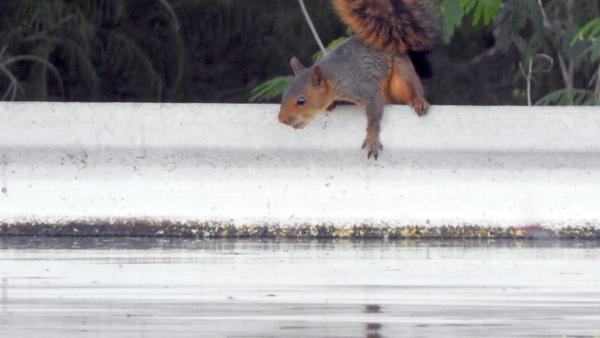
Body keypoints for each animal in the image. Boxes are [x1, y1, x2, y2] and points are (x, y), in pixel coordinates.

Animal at [278, 0, 440, 160]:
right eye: (284, 94)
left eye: (301, 100)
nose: (282, 120)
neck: (333, 76)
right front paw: (331, 105)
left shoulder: (360, 85)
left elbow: (374, 109)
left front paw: (372, 137)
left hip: (402, 74)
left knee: (411, 87)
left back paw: (418, 101)